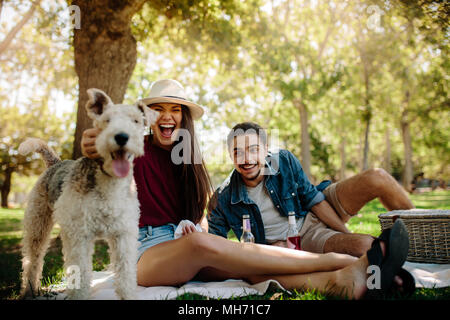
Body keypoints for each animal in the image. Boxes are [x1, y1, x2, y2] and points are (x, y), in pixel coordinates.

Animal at [18, 88, 158, 300]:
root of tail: (56, 162)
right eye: (107, 120)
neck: (109, 184)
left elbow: (126, 274)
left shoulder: (123, 234)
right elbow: (81, 275)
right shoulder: (79, 235)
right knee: (32, 259)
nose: (122, 137)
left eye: (136, 120)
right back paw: (29, 291)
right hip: (38, 223)